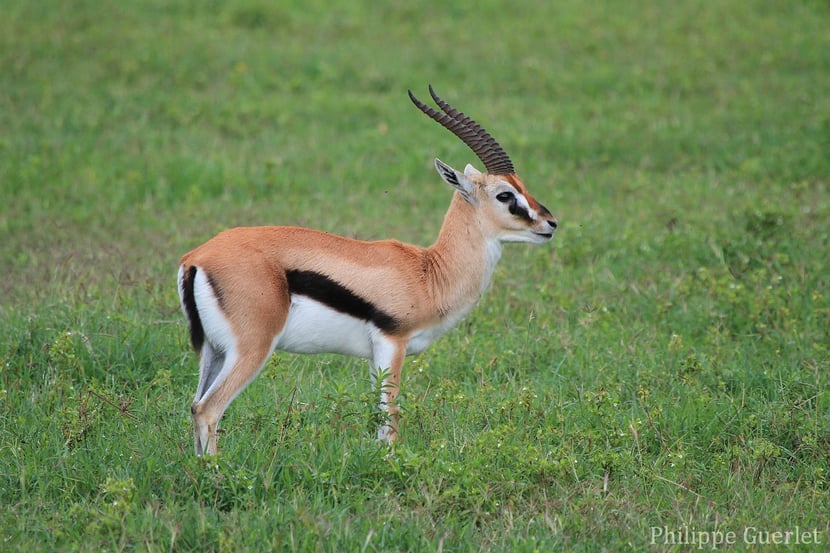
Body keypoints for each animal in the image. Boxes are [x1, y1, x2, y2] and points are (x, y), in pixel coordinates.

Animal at [177, 86, 558, 455]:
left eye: (522, 185)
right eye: (505, 195)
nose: (550, 223)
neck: (430, 272)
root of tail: (197, 257)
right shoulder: (393, 342)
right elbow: (390, 414)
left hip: (215, 350)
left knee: (195, 405)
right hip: (252, 347)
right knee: (209, 409)